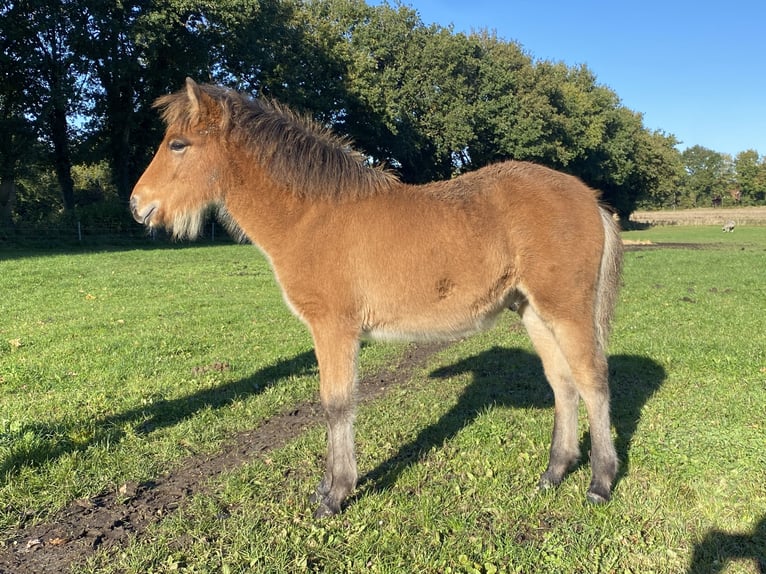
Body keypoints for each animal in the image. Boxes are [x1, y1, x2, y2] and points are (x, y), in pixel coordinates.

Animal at [130, 80, 624, 516]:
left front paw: (334, 494)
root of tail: (589, 198)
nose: (137, 204)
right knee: (563, 383)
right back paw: (554, 473)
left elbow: (336, 403)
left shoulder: (334, 328)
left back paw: (600, 482)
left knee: (593, 380)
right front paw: (328, 487)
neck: (312, 216)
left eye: (177, 144)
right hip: (534, 312)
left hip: (568, 310)